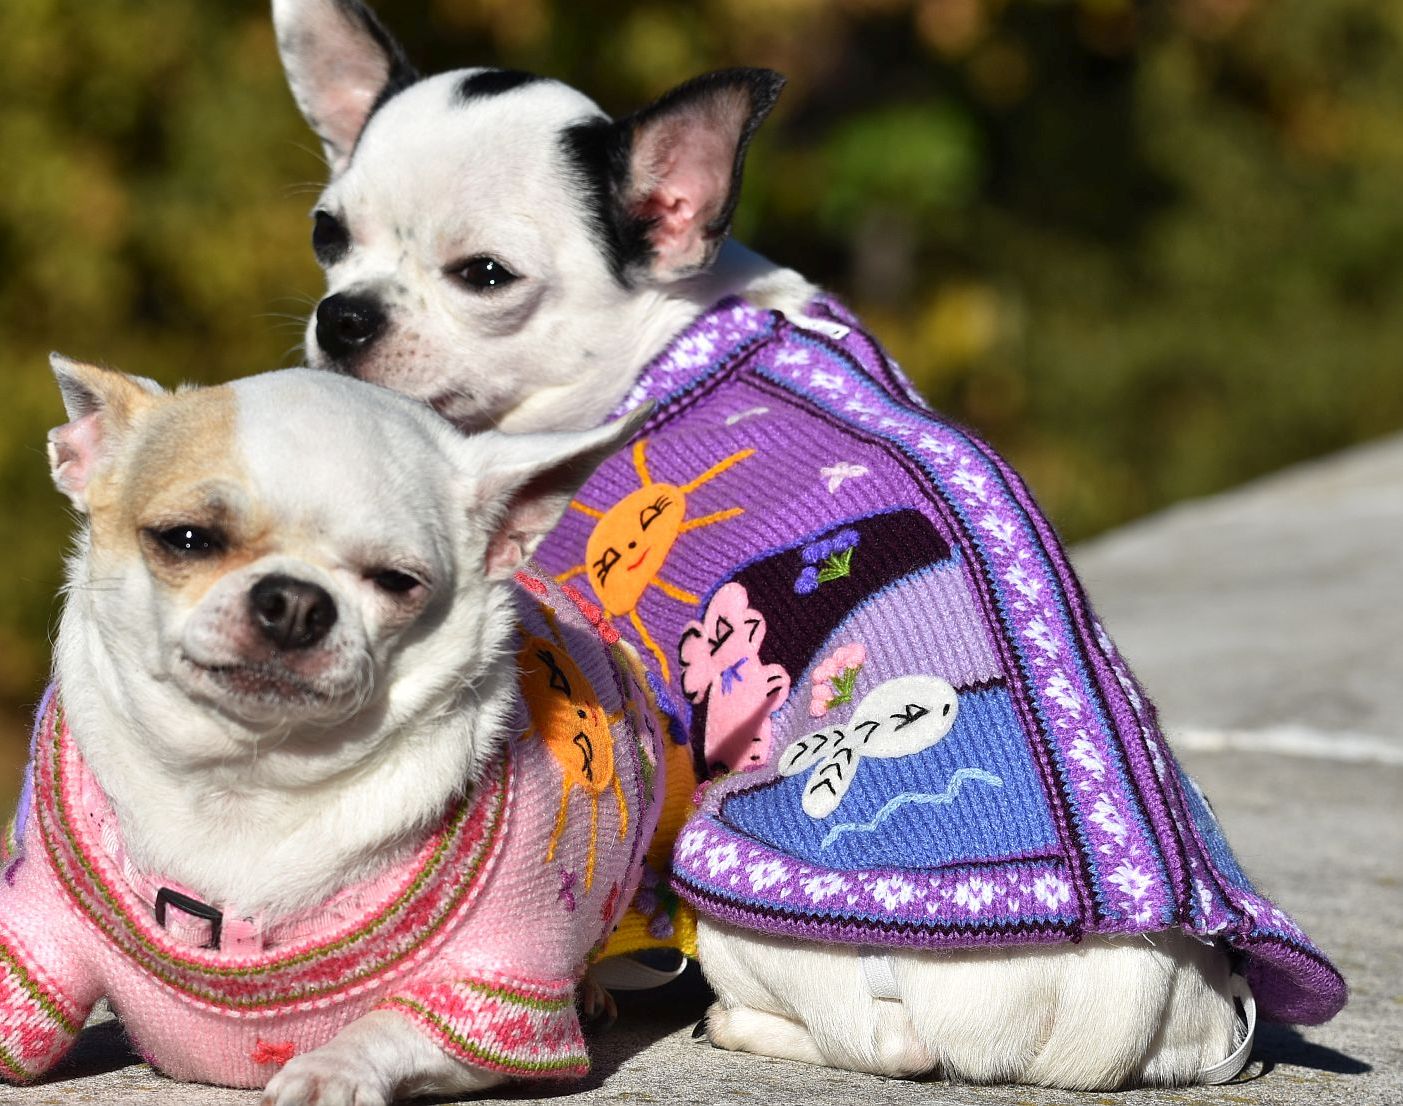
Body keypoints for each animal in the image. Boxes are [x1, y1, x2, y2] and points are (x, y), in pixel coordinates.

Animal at [0, 358, 663, 1104]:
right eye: (188, 539)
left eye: (398, 581)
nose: (294, 599)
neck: (248, 783)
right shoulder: (35, 931)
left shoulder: (499, 997)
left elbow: (387, 1024)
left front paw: (330, 1067)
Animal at [273, 0, 1347, 1088]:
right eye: (327, 234)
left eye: (484, 276)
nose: (344, 315)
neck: (662, 333)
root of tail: (1120, 984)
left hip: (748, 896)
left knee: (882, 1039)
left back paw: (740, 1024)